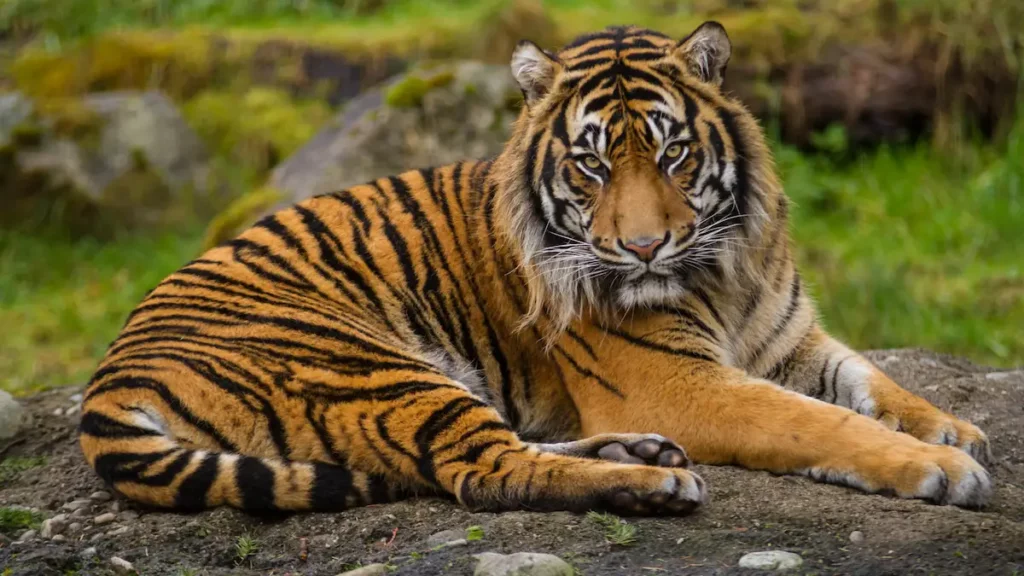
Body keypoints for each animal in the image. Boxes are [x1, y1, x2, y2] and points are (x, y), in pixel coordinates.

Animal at [79, 21, 992, 517]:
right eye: (592, 165)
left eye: (672, 153)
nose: (643, 248)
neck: (725, 268)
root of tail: (111, 374)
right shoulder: (674, 378)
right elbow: (814, 420)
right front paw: (943, 468)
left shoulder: (789, 338)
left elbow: (871, 381)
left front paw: (952, 428)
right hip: (370, 365)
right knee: (484, 470)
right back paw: (650, 486)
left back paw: (639, 455)